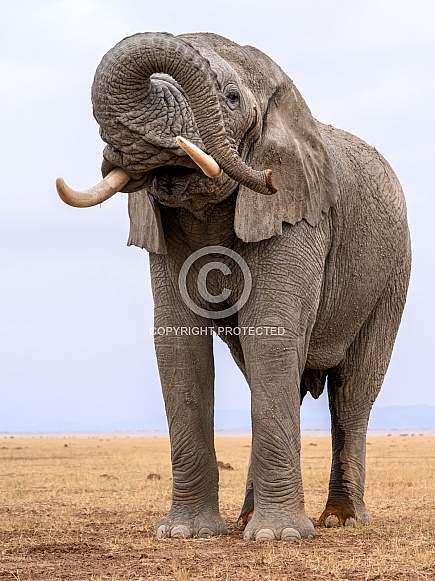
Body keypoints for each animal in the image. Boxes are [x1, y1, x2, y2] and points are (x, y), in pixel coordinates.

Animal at [58, 30, 412, 540]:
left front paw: (278, 538)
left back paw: (339, 520)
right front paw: (184, 534)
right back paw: (247, 518)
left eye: (230, 97)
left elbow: (272, 330)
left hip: (392, 275)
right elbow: (177, 342)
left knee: (352, 392)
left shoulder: (297, 209)